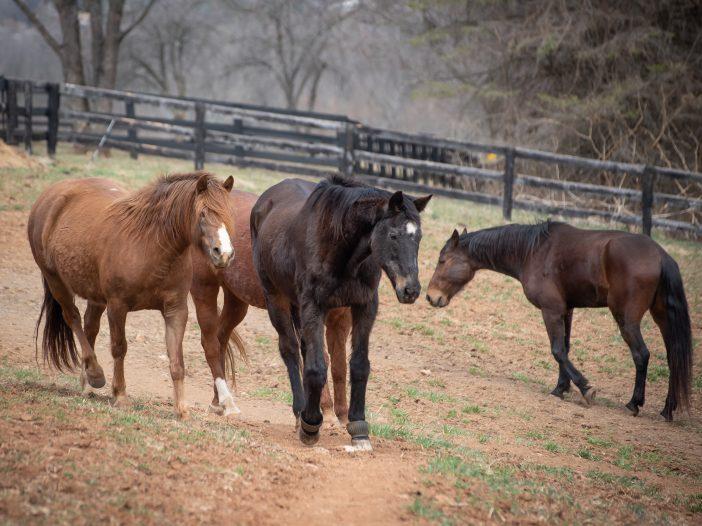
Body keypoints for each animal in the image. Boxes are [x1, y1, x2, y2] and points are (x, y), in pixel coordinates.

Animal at [28, 174, 236, 420]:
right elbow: (119, 348)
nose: (223, 254)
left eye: (229, 212)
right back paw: (95, 375)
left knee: (90, 328)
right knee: (74, 319)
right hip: (56, 281)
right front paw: (120, 396)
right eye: (203, 213)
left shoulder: (176, 310)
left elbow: (176, 359)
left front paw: (181, 409)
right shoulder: (117, 306)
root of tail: (50, 194)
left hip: (95, 296)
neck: (151, 245)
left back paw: (86, 382)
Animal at [190, 188, 354, 422]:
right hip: (204, 289)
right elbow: (320, 357)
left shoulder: (341, 320)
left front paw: (342, 416)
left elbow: (340, 366)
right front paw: (328, 412)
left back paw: (219, 401)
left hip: (236, 300)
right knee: (210, 341)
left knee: (220, 338)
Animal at [250, 177, 432, 450]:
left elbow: (358, 365)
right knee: (290, 350)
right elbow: (316, 368)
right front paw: (310, 426)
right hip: (276, 298)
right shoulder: (313, 305)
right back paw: (300, 413)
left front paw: (359, 427)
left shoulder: (365, 306)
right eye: (393, 235)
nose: (410, 290)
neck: (342, 250)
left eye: (418, 237)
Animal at [426, 221, 696, 422]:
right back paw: (667, 409)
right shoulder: (566, 310)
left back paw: (634, 403)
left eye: (442, 260)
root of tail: (661, 256)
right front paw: (561, 388)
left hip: (626, 319)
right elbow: (565, 349)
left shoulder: (551, 310)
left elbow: (557, 350)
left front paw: (585, 388)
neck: (533, 252)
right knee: (673, 358)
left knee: (641, 355)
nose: (431, 296)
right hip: (662, 317)